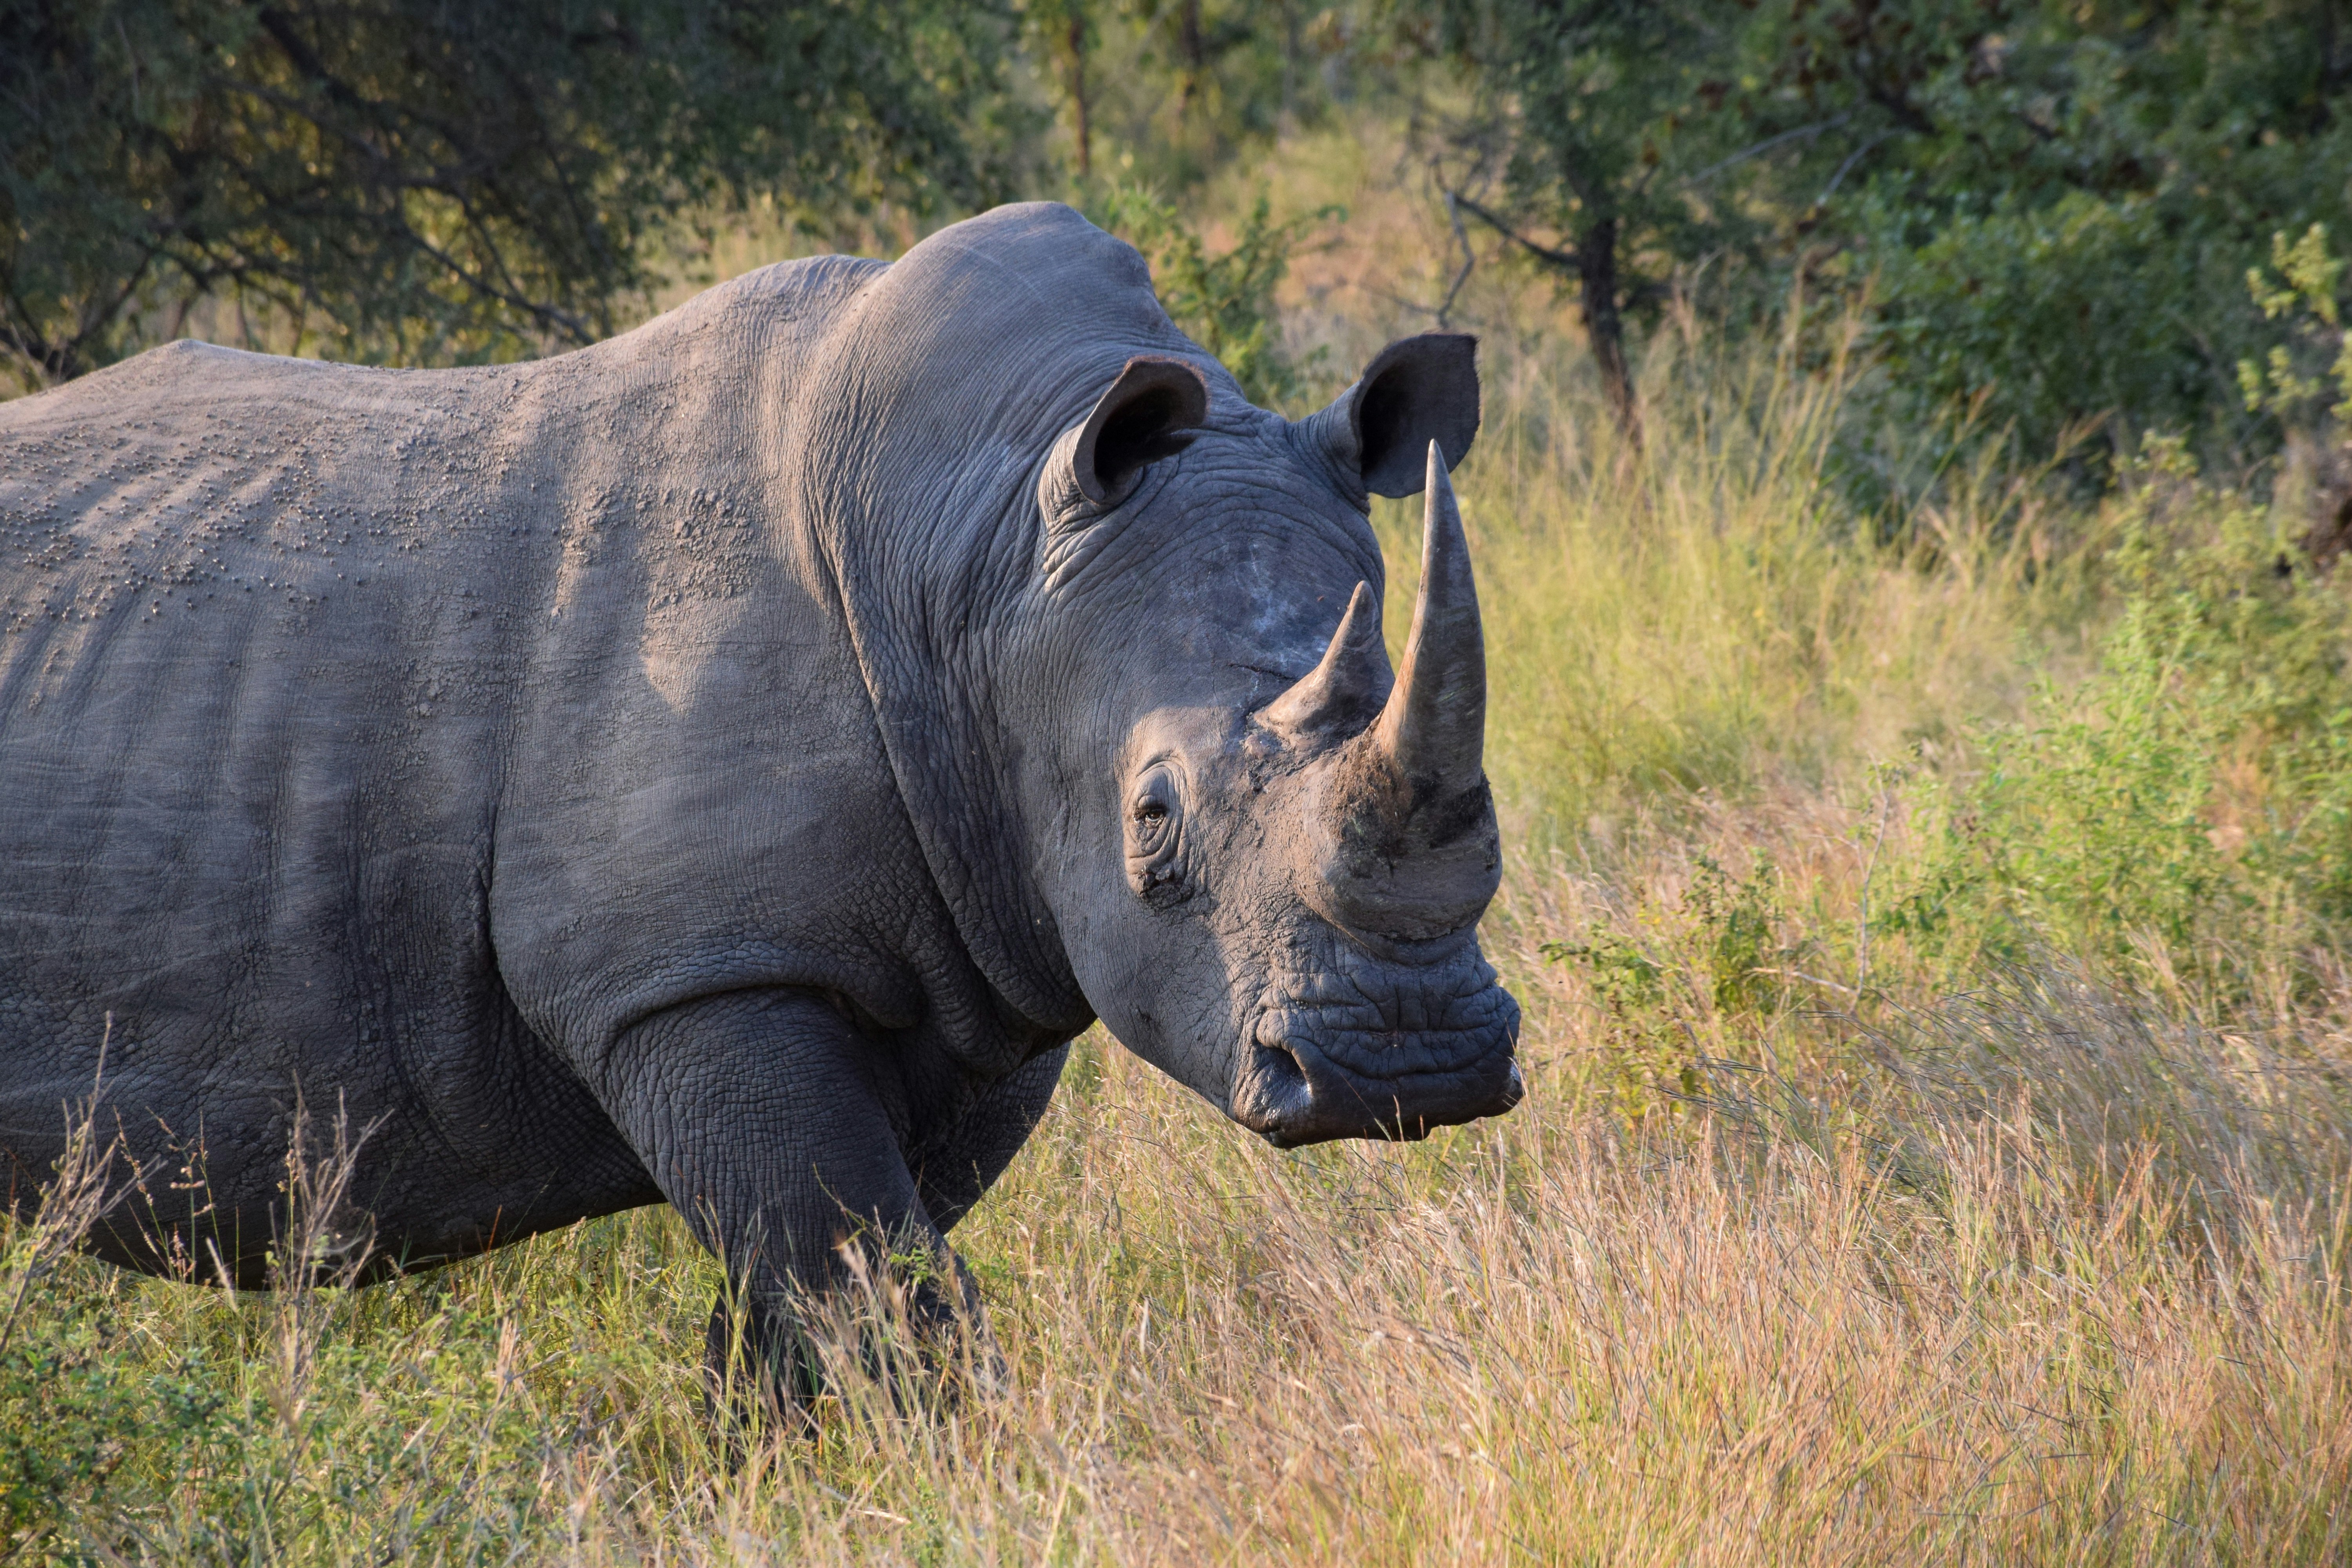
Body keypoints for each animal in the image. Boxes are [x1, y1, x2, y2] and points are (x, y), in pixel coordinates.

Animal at [0, 202, 1518, 1383]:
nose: (1408, 1065)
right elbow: (870, 1288)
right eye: (1152, 821)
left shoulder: (983, 956)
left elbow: (819, 1293)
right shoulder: (697, 974)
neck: (983, 554)